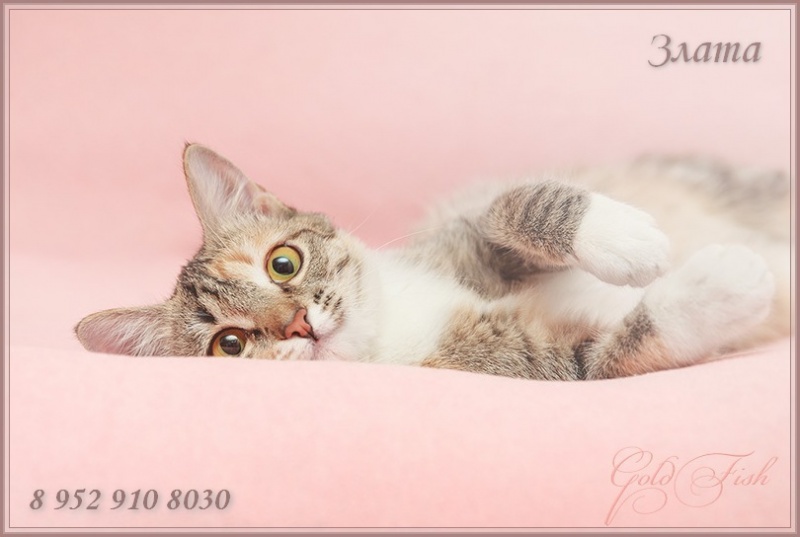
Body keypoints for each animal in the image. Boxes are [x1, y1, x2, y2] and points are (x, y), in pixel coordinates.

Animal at [75, 144, 790, 380]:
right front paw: (725, 284)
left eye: (282, 264)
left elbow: (510, 207)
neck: (395, 324)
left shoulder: (463, 237)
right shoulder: (533, 359)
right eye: (230, 344)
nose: (300, 325)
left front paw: (623, 236)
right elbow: (625, 346)